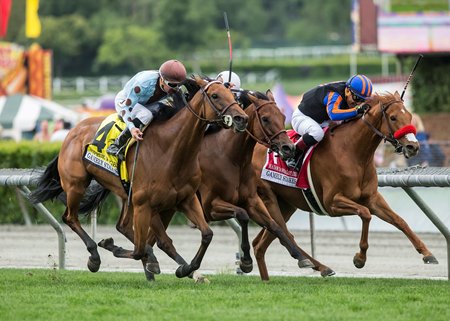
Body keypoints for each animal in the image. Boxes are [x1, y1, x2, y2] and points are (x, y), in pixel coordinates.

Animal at [30, 75, 250, 278]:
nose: (242, 119)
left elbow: (206, 234)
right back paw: (95, 256)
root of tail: (72, 131)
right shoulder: (145, 203)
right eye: (215, 95)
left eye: (233, 95)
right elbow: (140, 249)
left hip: (126, 194)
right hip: (77, 185)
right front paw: (117, 249)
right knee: (70, 217)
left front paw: (186, 268)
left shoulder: (186, 199)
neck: (171, 150)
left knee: (124, 227)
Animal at [251, 90, 438, 280]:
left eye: (409, 116)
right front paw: (360, 259)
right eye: (393, 117)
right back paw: (317, 265)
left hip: (286, 205)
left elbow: (400, 221)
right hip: (268, 198)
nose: (413, 146)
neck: (353, 153)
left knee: (261, 243)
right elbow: (365, 214)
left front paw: (427, 253)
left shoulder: (372, 198)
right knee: (284, 233)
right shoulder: (332, 203)